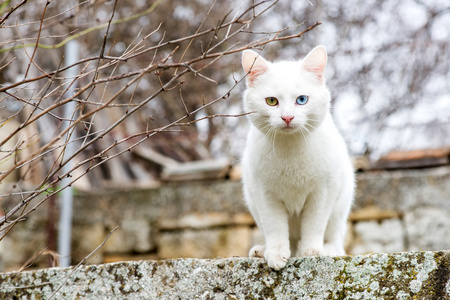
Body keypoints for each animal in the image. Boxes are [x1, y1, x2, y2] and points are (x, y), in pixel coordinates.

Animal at [241, 45, 354, 270]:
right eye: (272, 101)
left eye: (302, 100)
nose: (287, 117)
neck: (290, 150)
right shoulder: (263, 194)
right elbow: (274, 226)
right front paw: (276, 254)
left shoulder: (323, 192)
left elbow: (314, 224)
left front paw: (312, 252)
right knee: (290, 241)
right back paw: (263, 251)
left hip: (341, 205)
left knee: (335, 240)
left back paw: (327, 250)